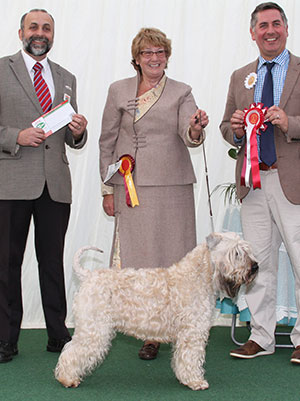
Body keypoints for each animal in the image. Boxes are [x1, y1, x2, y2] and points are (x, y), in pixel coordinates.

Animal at [55, 230, 258, 390]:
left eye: (246, 250)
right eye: (236, 253)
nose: (255, 267)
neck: (200, 277)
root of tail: (87, 276)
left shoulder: (187, 333)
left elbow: (183, 358)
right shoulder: (193, 333)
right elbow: (192, 358)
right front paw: (195, 381)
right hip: (94, 329)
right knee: (72, 350)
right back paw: (67, 379)